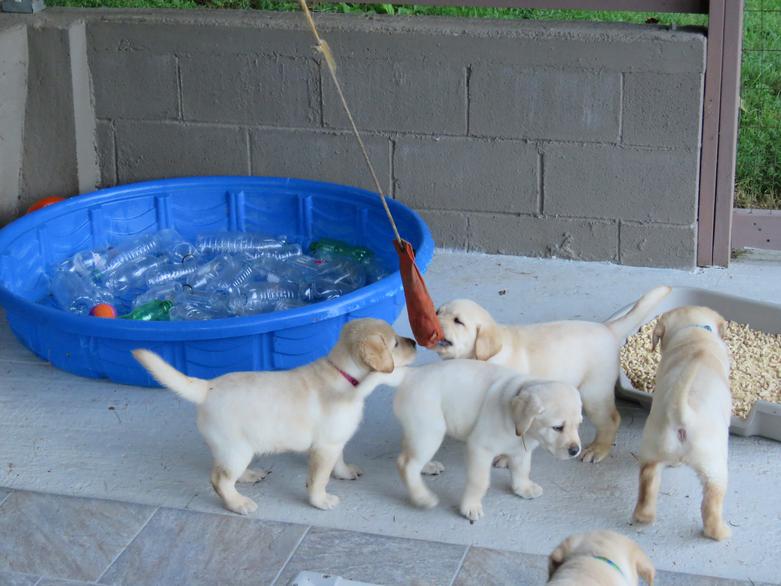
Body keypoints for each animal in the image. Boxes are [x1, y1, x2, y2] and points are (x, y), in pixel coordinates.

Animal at [136, 318, 414, 512]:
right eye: (396, 344)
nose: (413, 341)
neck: (343, 374)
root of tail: (206, 388)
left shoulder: (335, 441)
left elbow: (339, 461)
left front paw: (344, 472)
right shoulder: (324, 448)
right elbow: (318, 479)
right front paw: (320, 501)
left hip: (232, 448)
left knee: (223, 470)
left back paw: (248, 476)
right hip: (235, 448)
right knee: (219, 480)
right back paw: (238, 504)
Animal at [374, 360, 580, 520]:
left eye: (578, 424)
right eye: (557, 427)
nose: (575, 450)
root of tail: (411, 374)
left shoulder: (521, 450)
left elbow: (522, 470)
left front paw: (524, 488)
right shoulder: (480, 448)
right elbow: (479, 481)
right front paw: (470, 507)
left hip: (419, 431)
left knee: (409, 454)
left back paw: (427, 467)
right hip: (430, 430)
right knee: (406, 463)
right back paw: (422, 498)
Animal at [436, 284, 668, 460]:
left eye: (458, 321)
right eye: (438, 312)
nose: (432, 320)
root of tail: (607, 328)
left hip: (594, 392)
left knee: (611, 419)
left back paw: (598, 449)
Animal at [632, 306, 736, 540]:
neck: (694, 332)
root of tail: (683, 414)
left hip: (652, 450)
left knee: (647, 482)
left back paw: (644, 517)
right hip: (715, 468)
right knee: (710, 507)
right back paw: (721, 532)